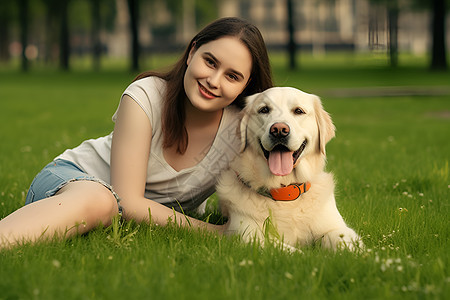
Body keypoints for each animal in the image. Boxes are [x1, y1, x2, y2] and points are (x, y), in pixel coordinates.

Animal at [217, 86, 362, 251]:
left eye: (298, 111)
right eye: (264, 109)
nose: (279, 130)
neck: (285, 192)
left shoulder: (336, 228)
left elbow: (349, 242)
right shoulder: (249, 236)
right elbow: (291, 251)